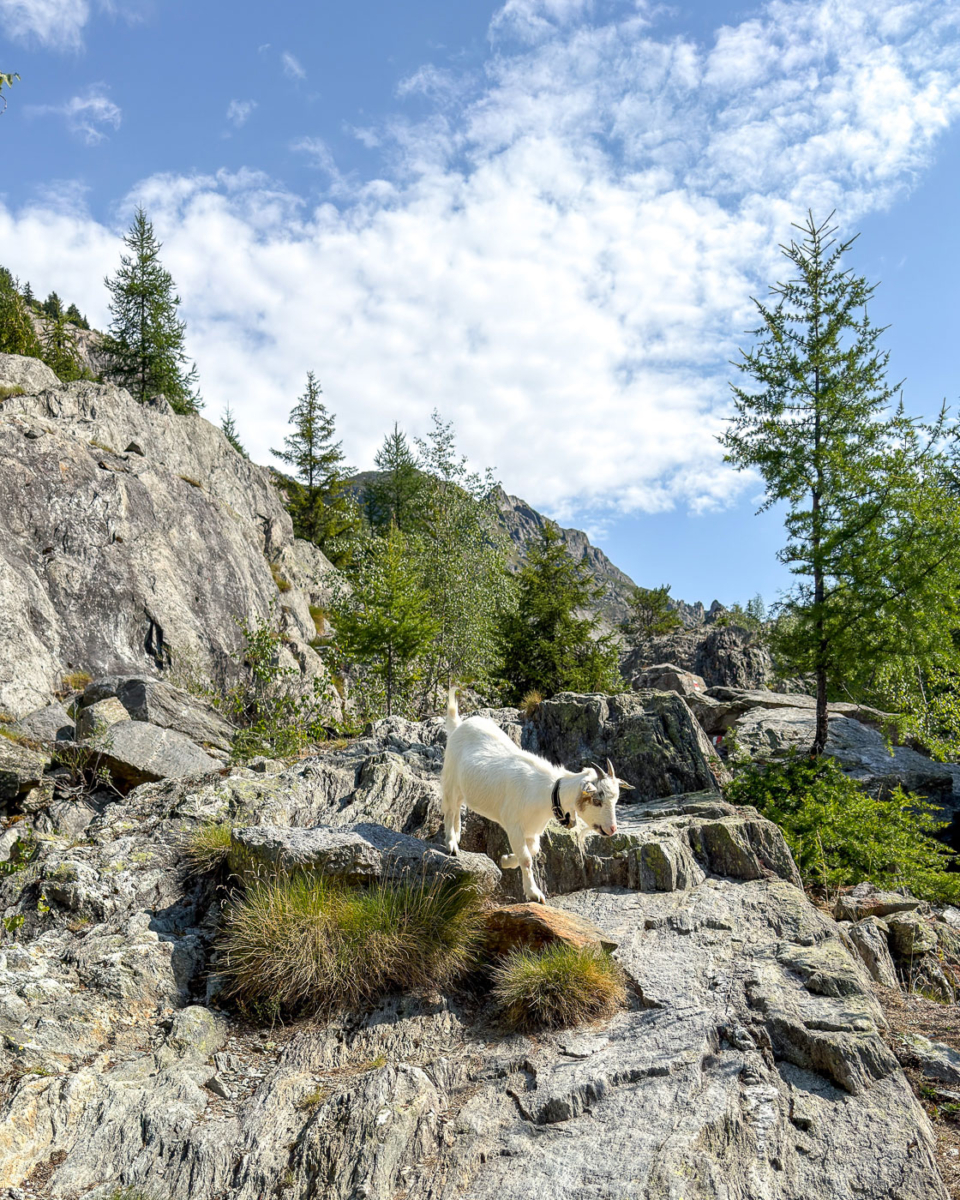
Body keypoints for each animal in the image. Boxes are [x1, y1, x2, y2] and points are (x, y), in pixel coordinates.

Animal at [441, 688, 633, 903]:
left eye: (615, 800)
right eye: (597, 801)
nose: (612, 829)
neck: (546, 793)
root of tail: (458, 725)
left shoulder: (532, 830)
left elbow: (532, 851)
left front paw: (506, 860)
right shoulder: (513, 825)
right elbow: (526, 858)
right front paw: (534, 893)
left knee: (457, 807)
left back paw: (457, 836)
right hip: (450, 780)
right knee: (449, 809)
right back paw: (451, 844)